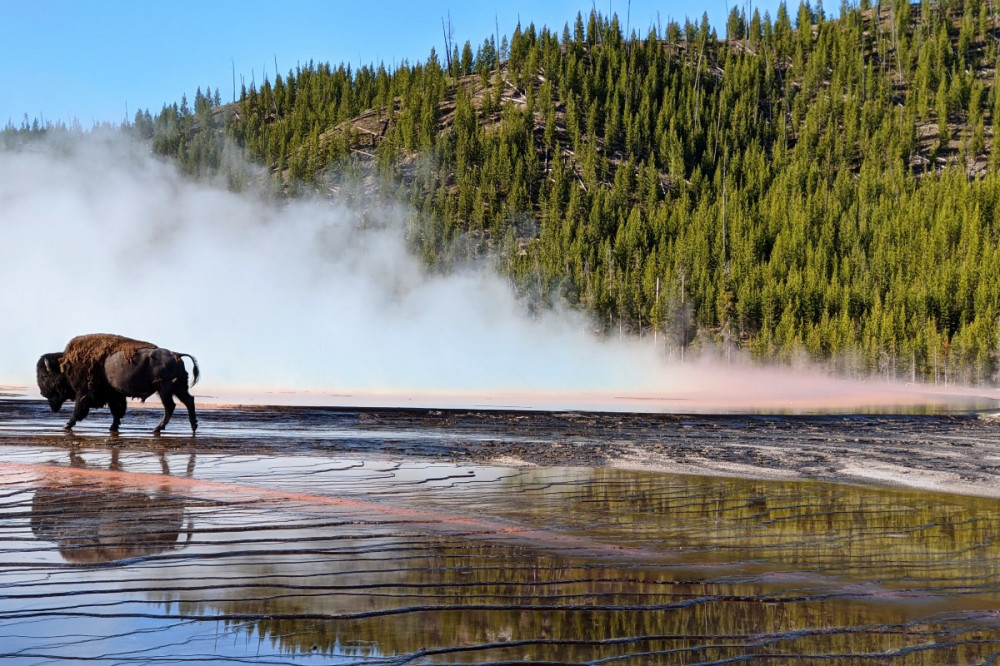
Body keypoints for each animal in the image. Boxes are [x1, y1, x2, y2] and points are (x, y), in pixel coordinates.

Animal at [38, 334, 200, 434]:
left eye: (45, 376)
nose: (42, 393)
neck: (65, 365)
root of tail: (175, 354)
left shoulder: (83, 394)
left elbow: (79, 410)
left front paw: (67, 424)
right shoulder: (114, 394)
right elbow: (116, 411)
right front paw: (113, 427)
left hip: (164, 389)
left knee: (170, 406)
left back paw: (158, 428)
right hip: (177, 388)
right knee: (188, 401)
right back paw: (193, 426)